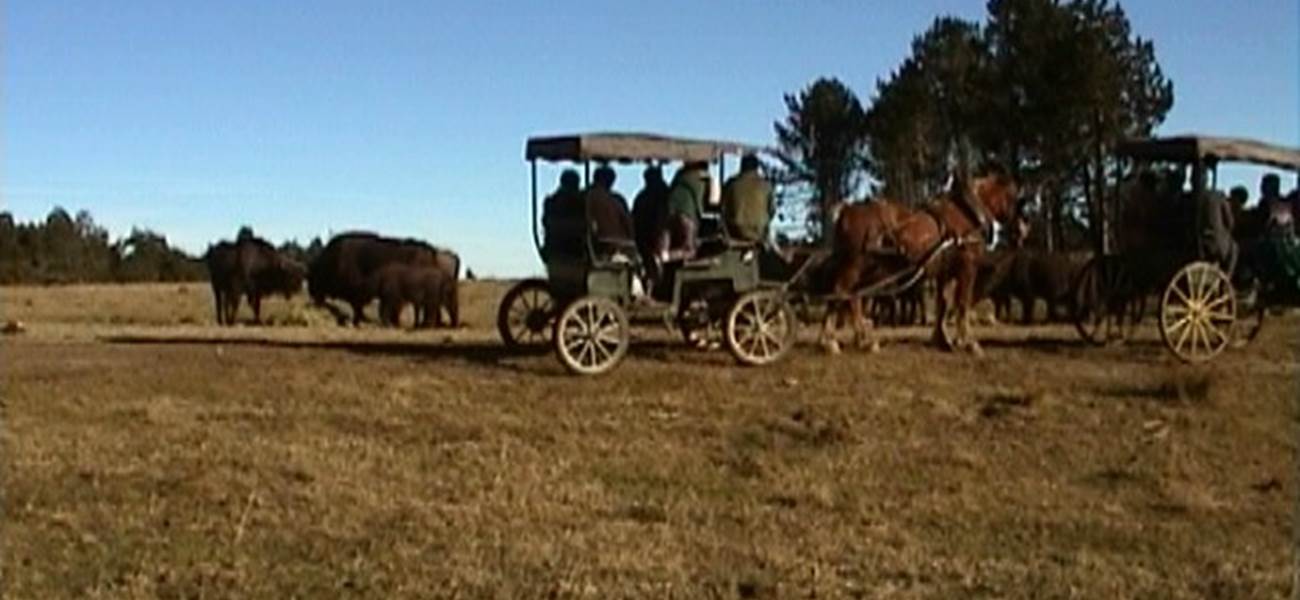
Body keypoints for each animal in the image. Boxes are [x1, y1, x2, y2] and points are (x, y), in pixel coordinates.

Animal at [306, 231, 460, 325]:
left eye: (314, 276)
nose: (313, 294)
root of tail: (430, 250)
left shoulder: (358, 294)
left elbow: (358, 307)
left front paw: (359, 321)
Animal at [816, 167, 1019, 355]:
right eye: (1013, 196)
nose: (1018, 232)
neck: (967, 215)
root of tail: (846, 210)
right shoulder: (967, 268)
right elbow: (962, 303)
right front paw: (968, 343)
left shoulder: (944, 274)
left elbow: (942, 304)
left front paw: (942, 340)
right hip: (855, 266)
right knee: (842, 293)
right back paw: (840, 342)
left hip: (863, 270)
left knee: (850, 298)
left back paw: (849, 341)